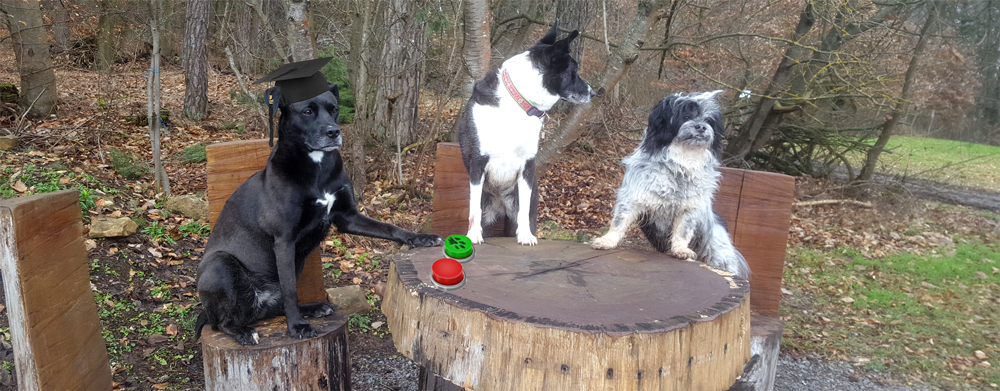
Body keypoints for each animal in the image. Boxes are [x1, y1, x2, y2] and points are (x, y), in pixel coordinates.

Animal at [195, 82, 442, 346]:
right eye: (307, 111)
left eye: (334, 110)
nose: (334, 132)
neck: (317, 167)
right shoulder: (284, 240)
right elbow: (290, 291)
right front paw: (297, 327)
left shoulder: (348, 217)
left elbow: (389, 228)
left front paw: (421, 238)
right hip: (220, 265)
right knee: (222, 322)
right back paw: (243, 331)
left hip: (296, 263)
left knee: (272, 307)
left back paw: (313, 308)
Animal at [460, 20, 592, 245]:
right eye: (573, 71)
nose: (593, 92)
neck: (518, 103)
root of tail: (500, 207)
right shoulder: (478, 163)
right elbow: (473, 208)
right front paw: (473, 235)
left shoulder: (527, 167)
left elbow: (523, 209)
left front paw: (525, 235)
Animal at [592, 90, 752, 280]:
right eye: (686, 116)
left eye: (708, 120)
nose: (701, 127)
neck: (681, 163)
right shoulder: (631, 199)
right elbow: (618, 222)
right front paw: (607, 240)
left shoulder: (689, 210)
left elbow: (682, 232)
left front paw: (680, 250)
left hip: (720, 256)